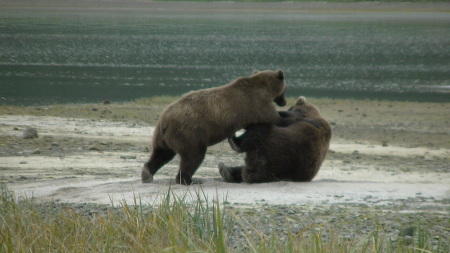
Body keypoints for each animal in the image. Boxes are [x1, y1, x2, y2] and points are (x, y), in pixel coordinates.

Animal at [142, 70, 286, 185]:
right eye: (284, 90)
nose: (284, 102)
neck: (264, 89)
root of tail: (165, 122)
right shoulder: (257, 105)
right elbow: (274, 119)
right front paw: (283, 117)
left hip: (163, 137)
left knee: (161, 154)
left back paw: (147, 174)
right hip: (189, 132)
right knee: (193, 156)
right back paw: (188, 180)